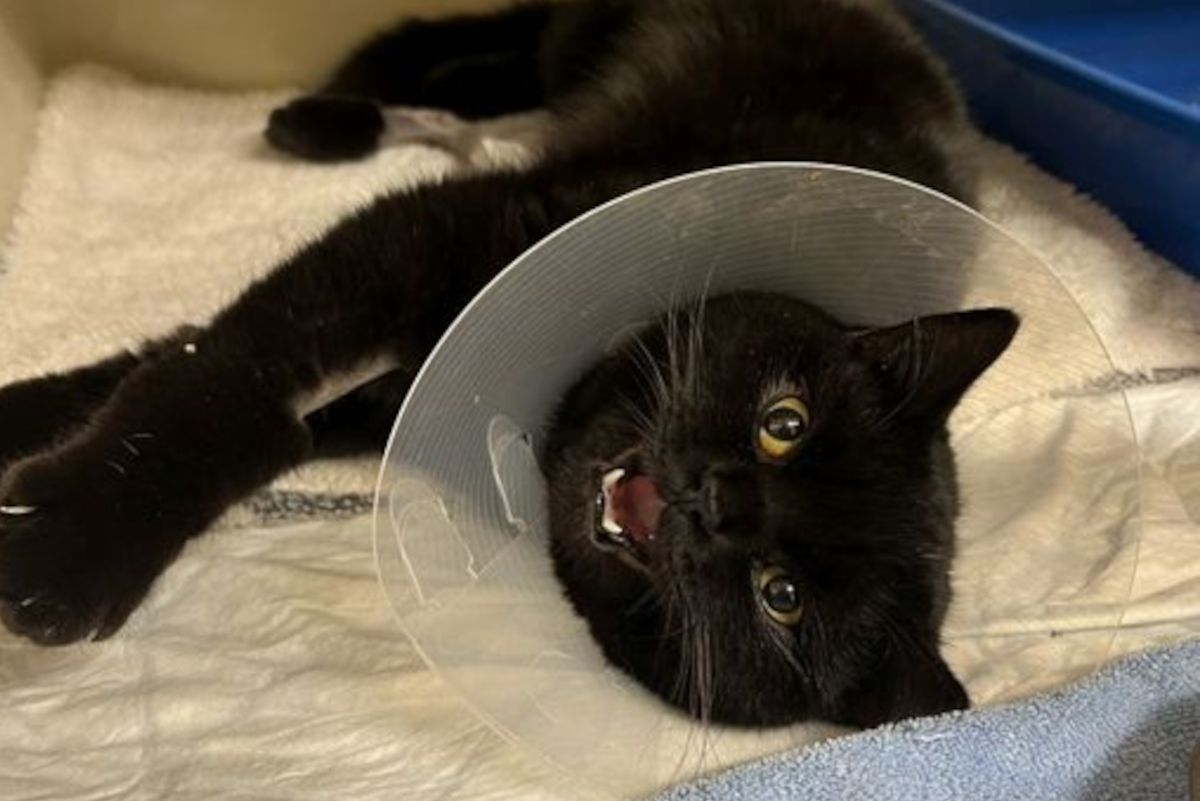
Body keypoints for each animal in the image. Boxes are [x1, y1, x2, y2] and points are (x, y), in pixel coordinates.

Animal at [0, 0, 1016, 727]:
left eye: (784, 599)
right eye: (784, 423)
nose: (721, 499)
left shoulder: (387, 386)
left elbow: (230, 390)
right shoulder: (433, 232)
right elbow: (218, 372)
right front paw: (76, 530)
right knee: (502, 36)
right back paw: (325, 110)